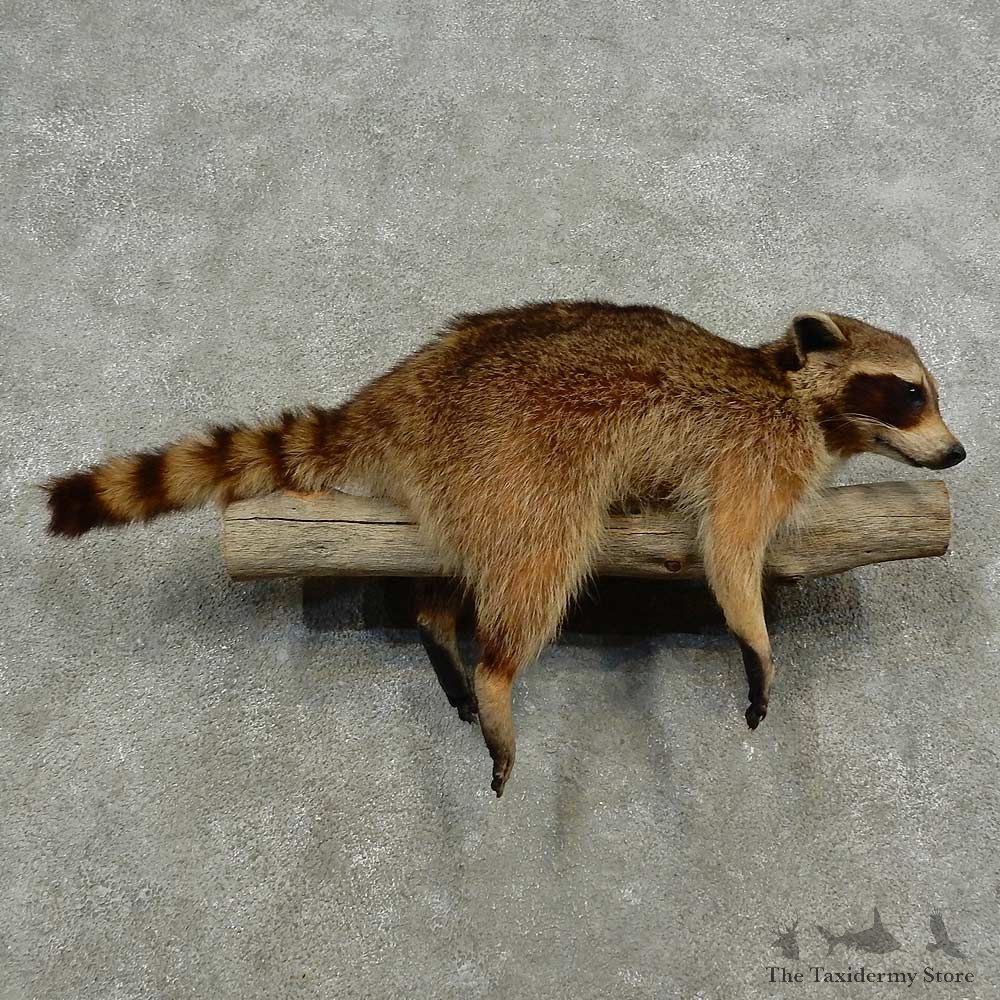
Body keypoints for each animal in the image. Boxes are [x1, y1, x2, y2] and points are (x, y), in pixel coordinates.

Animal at [45, 302, 965, 796]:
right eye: (909, 394)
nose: (958, 454)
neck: (796, 395)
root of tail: (399, 396)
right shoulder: (754, 449)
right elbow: (729, 546)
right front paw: (753, 635)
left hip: (466, 482)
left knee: (456, 565)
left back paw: (436, 626)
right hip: (520, 457)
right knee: (537, 564)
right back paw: (493, 672)